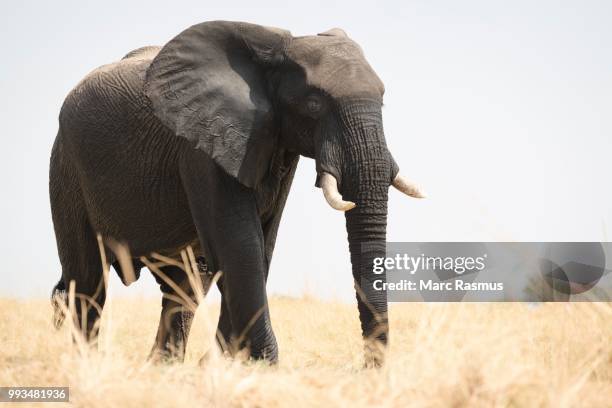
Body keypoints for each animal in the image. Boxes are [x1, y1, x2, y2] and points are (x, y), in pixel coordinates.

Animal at [49, 20, 426, 364]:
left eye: (383, 100)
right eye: (314, 104)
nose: (367, 369)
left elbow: (259, 246)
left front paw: (222, 364)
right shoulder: (202, 143)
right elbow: (241, 245)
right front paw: (260, 366)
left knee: (185, 287)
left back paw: (163, 368)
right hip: (66, 168)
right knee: (88, 281)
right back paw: (87, 365)